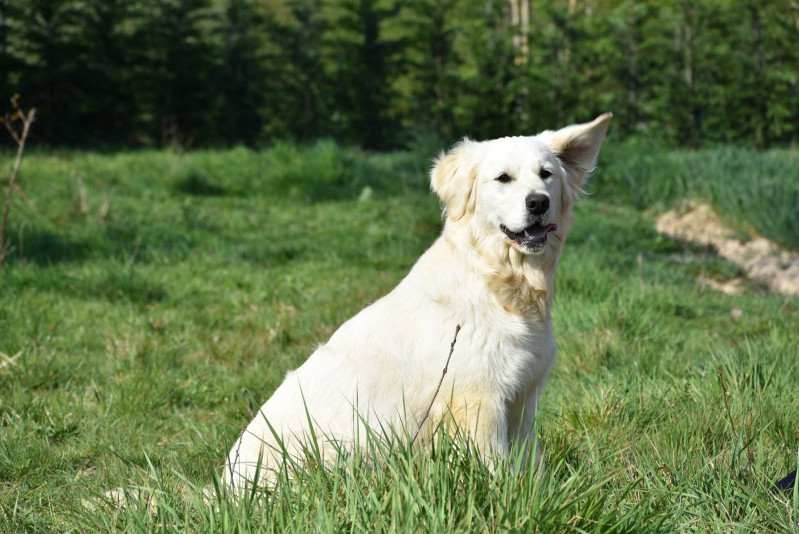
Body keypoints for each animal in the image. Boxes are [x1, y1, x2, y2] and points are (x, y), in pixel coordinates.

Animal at [225, 115, 612, 492]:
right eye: (504, 178)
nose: (538, 202)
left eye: (546, 174)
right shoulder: (476, 400)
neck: (498, 281)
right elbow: (495, 470)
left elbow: (532, 465)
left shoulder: (522, 397)